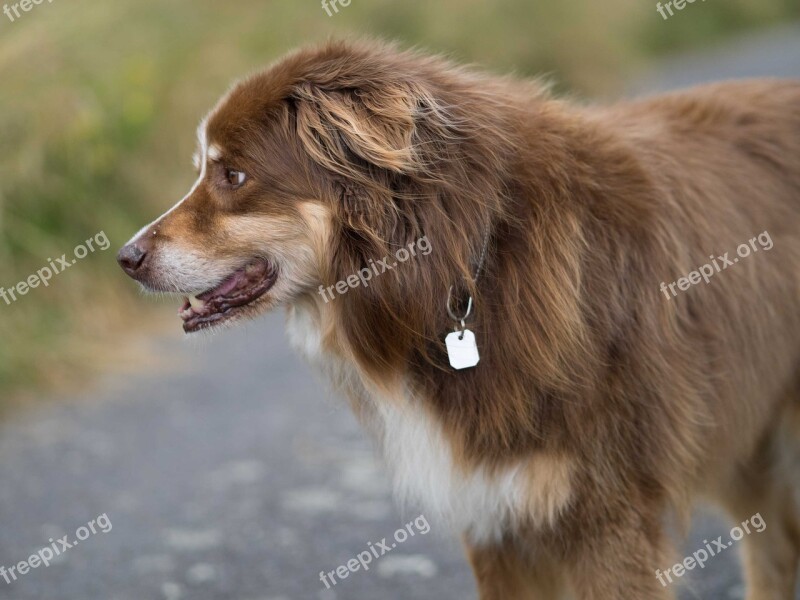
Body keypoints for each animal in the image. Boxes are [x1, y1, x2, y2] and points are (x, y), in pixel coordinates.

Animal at [117, 39, 800, 596]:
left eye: (234, 175)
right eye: (202, 171)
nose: (126, 257)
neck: (465, 268)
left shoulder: (609, 514)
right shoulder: (493, 513)